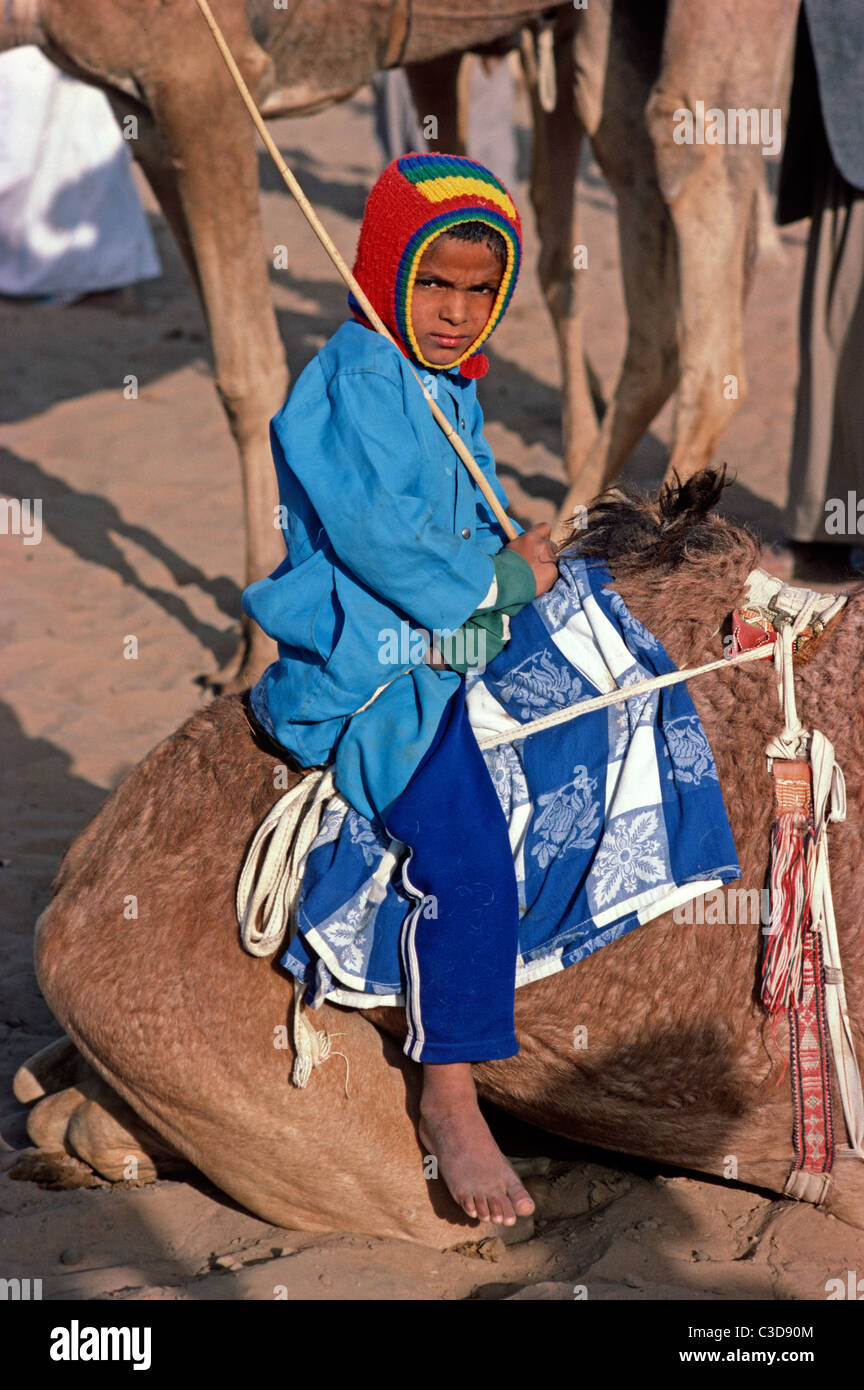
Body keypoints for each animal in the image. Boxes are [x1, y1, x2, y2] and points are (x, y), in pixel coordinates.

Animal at [0, 1, 798, 678]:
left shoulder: (202, 75)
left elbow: (247, 373)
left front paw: (254, 653)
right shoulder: (139, 106)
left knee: (691, 155)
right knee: (640, 257)